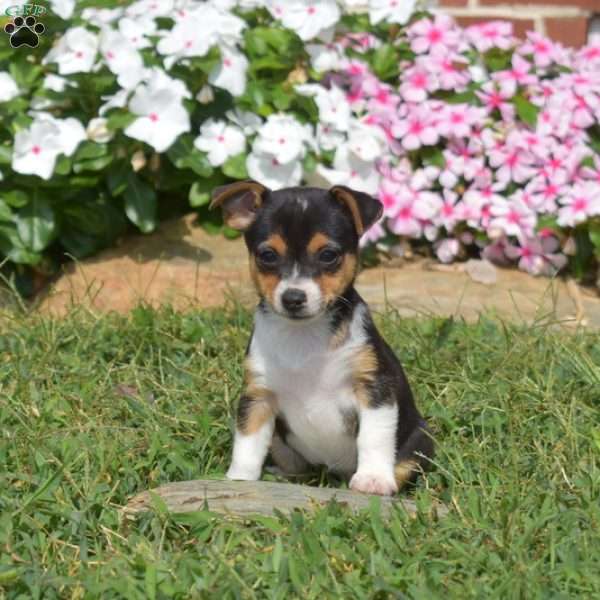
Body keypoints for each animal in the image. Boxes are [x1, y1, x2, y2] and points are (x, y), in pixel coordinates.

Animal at [210, 179, 432, 496]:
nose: (293, 298)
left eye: (328, 255)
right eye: (267, 255)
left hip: (420, 440)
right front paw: (239, 479)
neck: (303, 336)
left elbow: (374, 437)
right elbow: (247, 443)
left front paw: (373, 479)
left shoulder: (374, 389)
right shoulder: (259, 395)